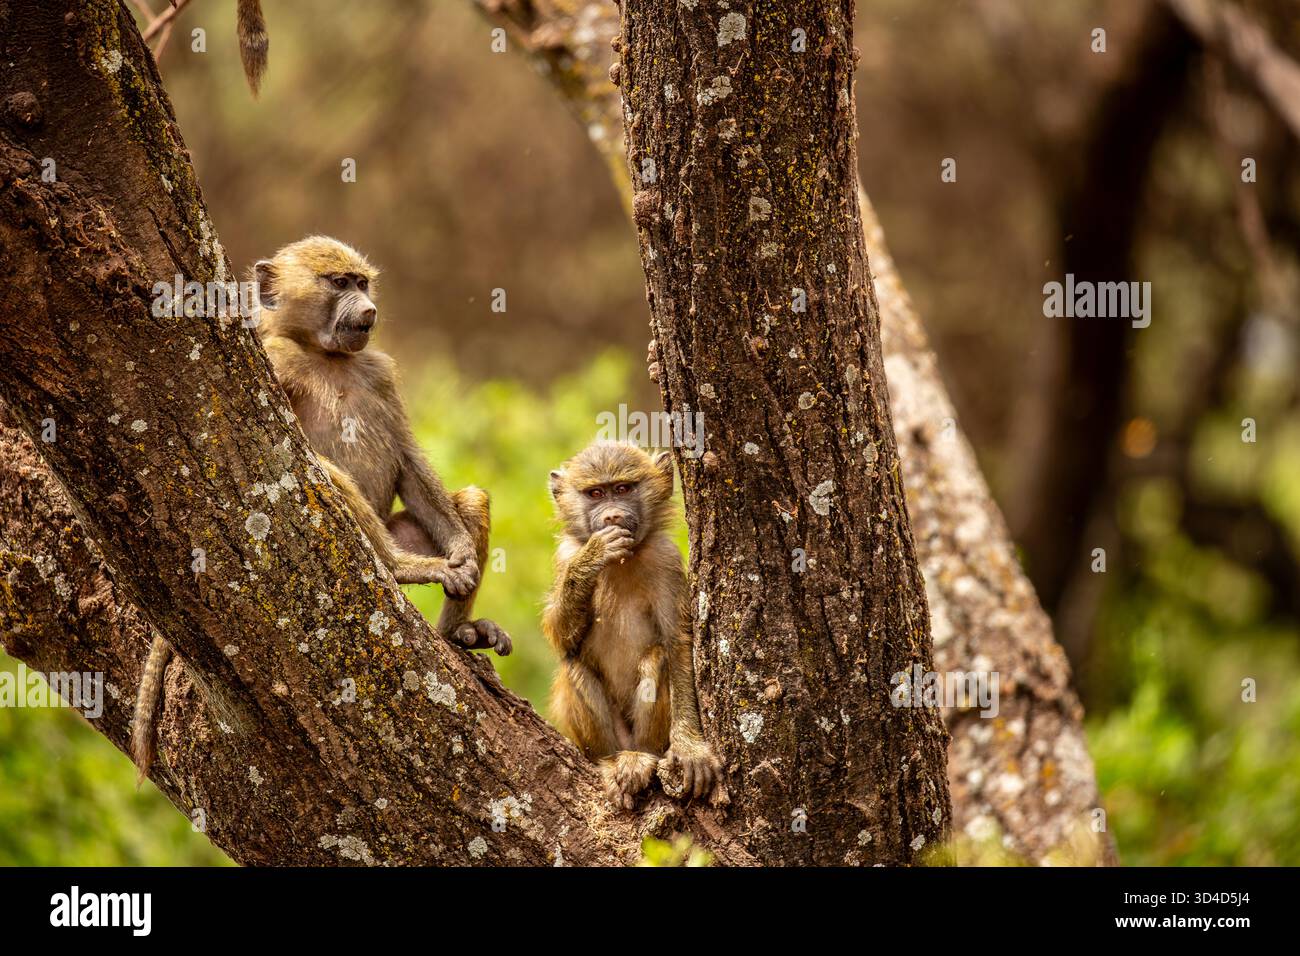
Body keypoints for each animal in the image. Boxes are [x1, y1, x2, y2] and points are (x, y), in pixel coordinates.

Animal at [131, 235, 509, 783]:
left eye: (363, 283)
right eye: (338, 283)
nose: (369, 310)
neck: (323, 355)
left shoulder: (380, 371)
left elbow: (408, 458)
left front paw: (461, 553)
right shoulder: (275, 361)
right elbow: (311, 458)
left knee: (472, 500)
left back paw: (458, 633)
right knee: (326, 475)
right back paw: (405, 568)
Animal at [543, 441, 721, 809]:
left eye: (623, 488)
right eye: (596, 493)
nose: (612, 516)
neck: (624, 560)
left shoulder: (664, 558)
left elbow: (676, 643)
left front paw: (690, 748)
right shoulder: (566, 556)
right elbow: (562, 639)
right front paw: (592, 557)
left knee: (657, 658)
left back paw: (644, 758)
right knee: (574, 663)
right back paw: (612, 763)